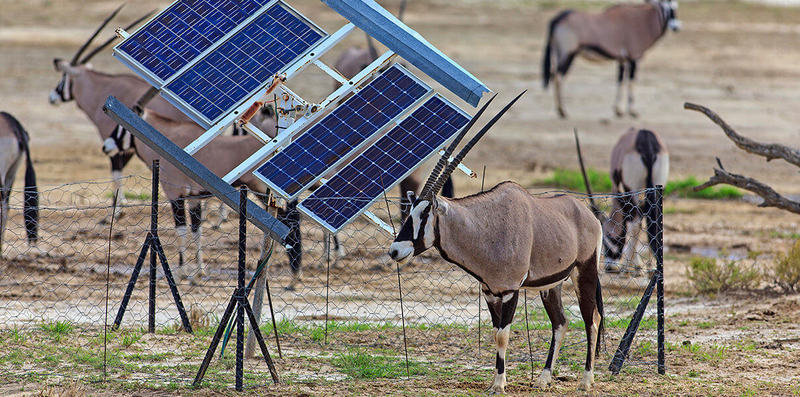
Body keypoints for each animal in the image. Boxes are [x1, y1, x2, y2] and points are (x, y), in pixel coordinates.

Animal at [388, 91, 608, 392]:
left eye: (424, 213)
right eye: (408, 212)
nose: (395, 250)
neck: (485, 228)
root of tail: (588, 214)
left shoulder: (510, 290)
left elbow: (503, 335)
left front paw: (499, 384)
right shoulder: (490, 291)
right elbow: (495, 334)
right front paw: (495, 380)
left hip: (584, 272)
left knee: (591, 319)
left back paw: (586, 380)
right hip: (551, 284)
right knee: (560, 322)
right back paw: (544, 378)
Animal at [540, 0, 680, 117]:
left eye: (675, 6)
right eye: (668, 8)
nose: (676, 27)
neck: (644, 18)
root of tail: (559, 18)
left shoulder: (622, 60)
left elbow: (620, 80)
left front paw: (618, 110)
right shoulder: (634, 58)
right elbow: (631, 81)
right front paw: (632, 111)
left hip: (559, 53)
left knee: (553, 75)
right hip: (568, 54)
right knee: (558, 76)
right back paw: (562, 111)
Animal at [576, 127, 668, 272]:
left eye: (607, 238)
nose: (610, 266)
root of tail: (645, 137)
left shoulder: (621, 193)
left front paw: (634, 264)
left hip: (632, 189)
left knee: (635, 223)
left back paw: (629, 267)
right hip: (655, 186)